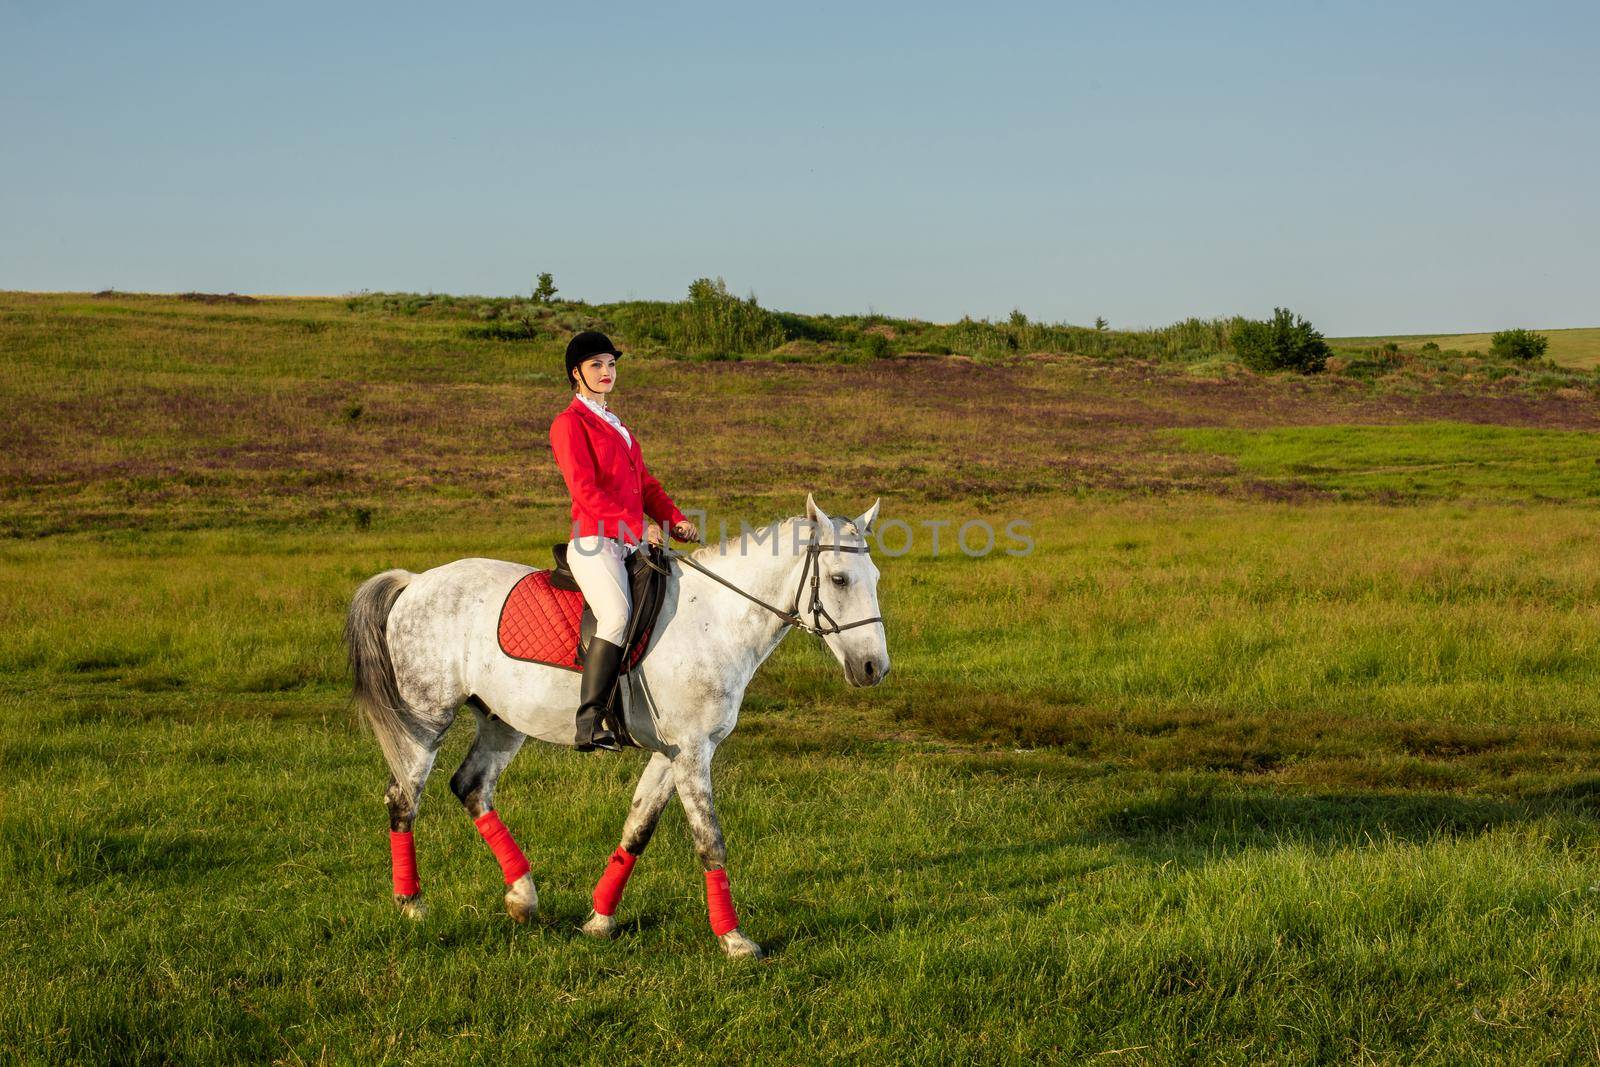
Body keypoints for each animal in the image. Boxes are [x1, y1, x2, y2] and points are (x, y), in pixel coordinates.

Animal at [342, 495, 889, 959]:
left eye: (876, 576)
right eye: (839, 579)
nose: (873, 668)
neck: (714, 621)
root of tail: (415, 581)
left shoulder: (673, 753)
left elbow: (637, 829)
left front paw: (599, 921)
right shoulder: (693, 752)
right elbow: (709, 841)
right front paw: (734, 940)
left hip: (502, 722)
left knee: (471, 787)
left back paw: (522, 897)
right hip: (425, 718)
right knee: (403, 798)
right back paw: (412, 905)